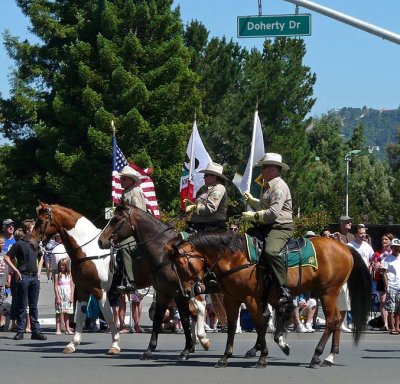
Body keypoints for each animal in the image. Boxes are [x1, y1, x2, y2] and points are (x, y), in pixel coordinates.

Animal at [30, 201, 119, 354]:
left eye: (40, 220)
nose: (31, 243)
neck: (88, 251)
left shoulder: (100, 291)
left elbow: (109, 316)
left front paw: (114, 345)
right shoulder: (83, 289)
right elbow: (81, 315)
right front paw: (72, 344)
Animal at [97, 204, 209, 360]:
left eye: (117, 219)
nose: (101, 241)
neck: (164, 252)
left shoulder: (179, 293)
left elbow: (184, 319)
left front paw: (186, 350)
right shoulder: (163, 292)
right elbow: (157, 319)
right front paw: (149, 350)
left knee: (199, 309)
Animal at [170, 231, 372, 368]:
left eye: (182, 264)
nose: (186, 291)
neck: (235, 258)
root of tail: (345, 247)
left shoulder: (251, 299)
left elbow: (260, 325)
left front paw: (263, 356)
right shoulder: (231, 299)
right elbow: (232, 327)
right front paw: (226, 357)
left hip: (328, 292)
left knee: (331, 321)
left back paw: (317, 356)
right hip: (329, 294)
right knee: (336, 319)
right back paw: (330, 356)